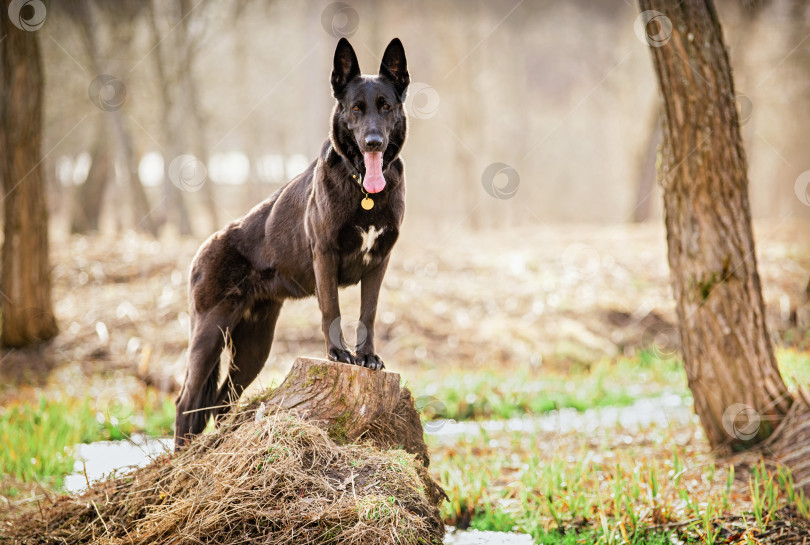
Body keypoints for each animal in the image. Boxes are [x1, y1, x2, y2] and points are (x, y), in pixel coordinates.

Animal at [174, 37, 408, 446]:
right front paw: (338, 354)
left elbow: (368, 313)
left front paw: (367, 358)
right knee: (186, 404)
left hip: (254, 347)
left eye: (386, 106)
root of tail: (204, 247)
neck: (364, 191)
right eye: (356, 108)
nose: (374, 142)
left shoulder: (379, 262)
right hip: (209, 335)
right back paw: (180, 457)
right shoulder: (324, 255)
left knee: (219, 402)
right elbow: (332, 310)